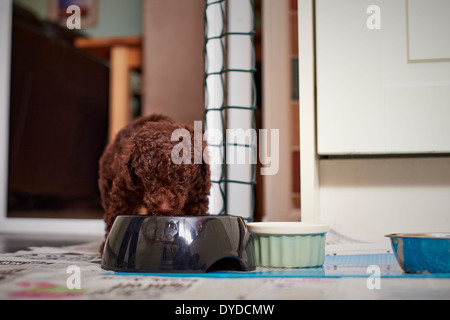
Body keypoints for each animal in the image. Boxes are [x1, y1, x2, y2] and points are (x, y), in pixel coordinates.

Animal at [97, 114, 210, 254]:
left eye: (182, 179)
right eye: (149, 178)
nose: (164, 208)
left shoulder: (197, 193)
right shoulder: (124, 188)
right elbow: (116, 215)